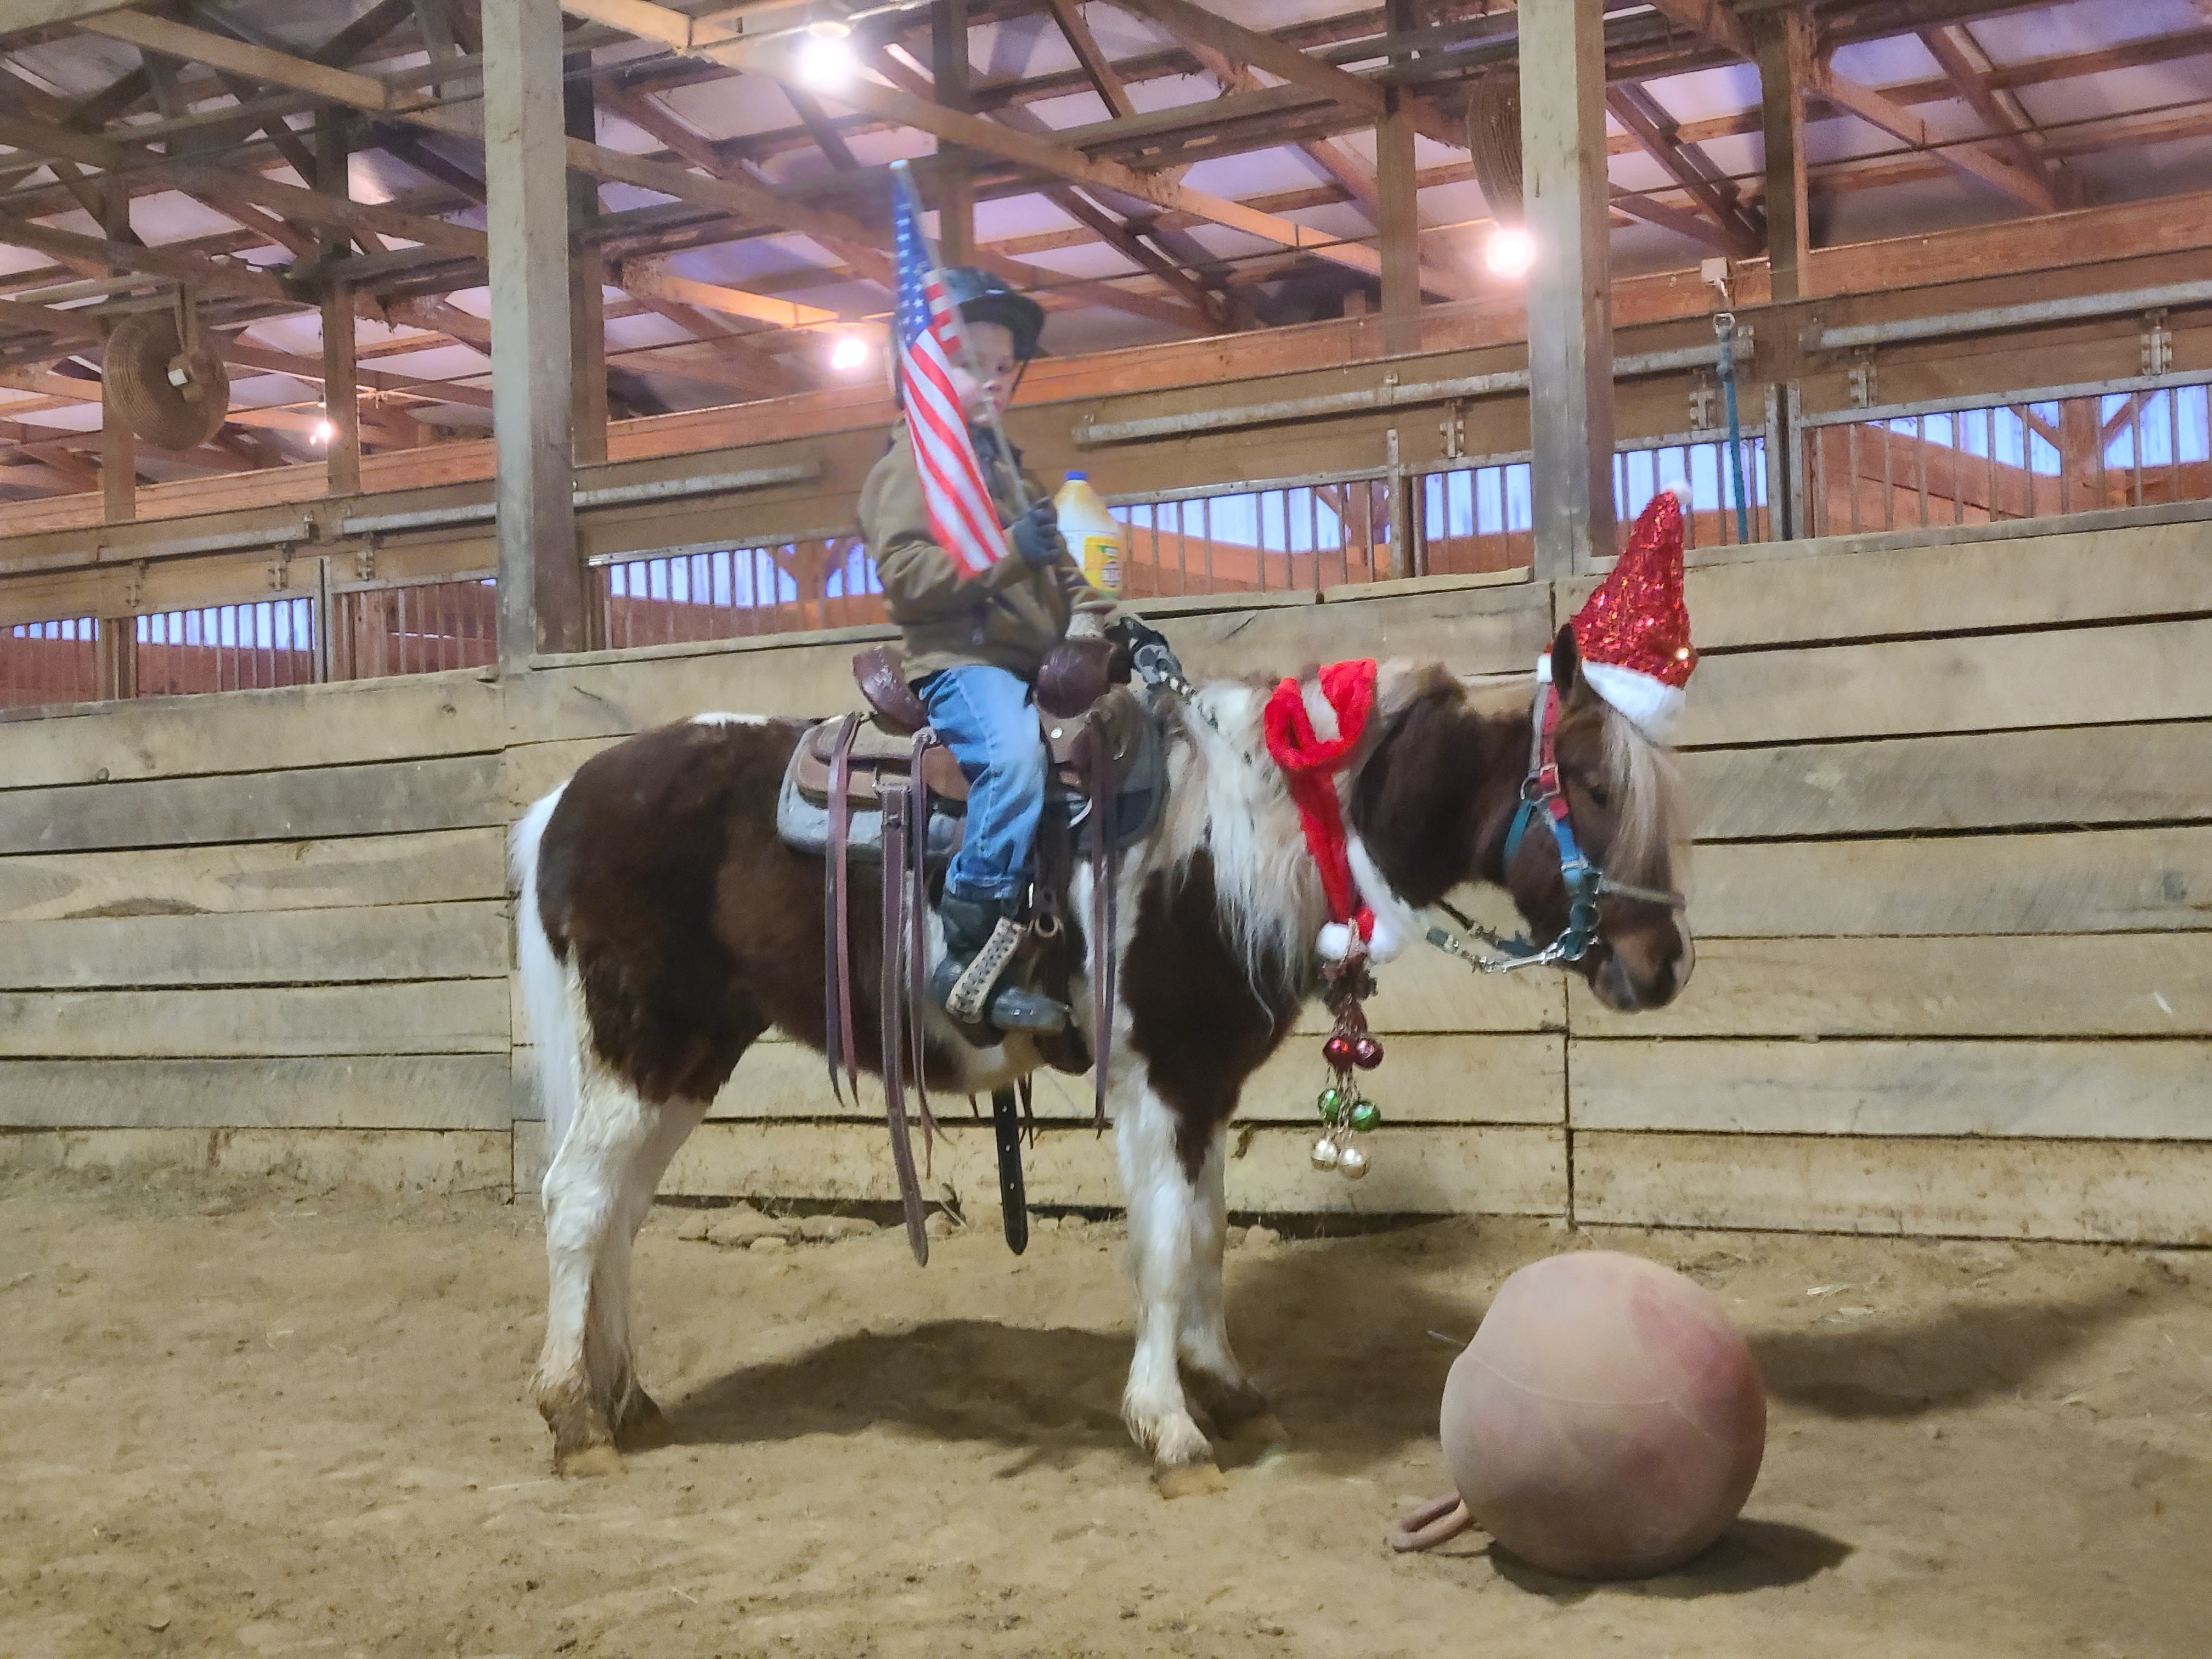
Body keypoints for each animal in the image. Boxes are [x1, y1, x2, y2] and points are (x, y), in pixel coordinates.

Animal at [509, 620, 1694, 1492]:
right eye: (1590, 783)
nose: (1665, 966)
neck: (1239, 832)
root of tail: (564, 801)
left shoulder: (1205, 1083)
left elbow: (1208, 1233)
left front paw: (1224, 1384)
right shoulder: (1157, 1080)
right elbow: (1165, 1247)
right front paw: (1169, 1429)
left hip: (689, 1051)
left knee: (620, 1213)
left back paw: (629, 1402)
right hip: (643, 1040)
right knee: (578, 1201)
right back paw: (575, 1417)